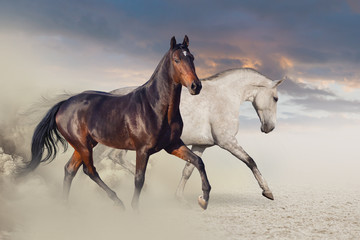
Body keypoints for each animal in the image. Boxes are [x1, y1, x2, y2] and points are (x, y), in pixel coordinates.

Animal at [26, 35, 211, 210]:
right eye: (176, 59)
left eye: (192, 57)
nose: (196, 86)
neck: (155, 107)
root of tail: (63, 104)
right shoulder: (143, 150)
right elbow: (139, 179)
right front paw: (135, 210)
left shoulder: (172, 145)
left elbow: (197, 161)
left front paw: (204, 199)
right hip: (83, 145)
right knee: (89, 170)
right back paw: (117, 202)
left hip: (84, 145)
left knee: (70, 169)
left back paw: (65, 206)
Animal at [96, 69, 284, 201]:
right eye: (275, 98)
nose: (269, 127)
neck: (223, 97)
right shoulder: (227, 141)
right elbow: (250, 161)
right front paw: (267, 191)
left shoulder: (201, 145)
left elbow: (189, 169)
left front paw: (179, 197)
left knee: (115, 158)